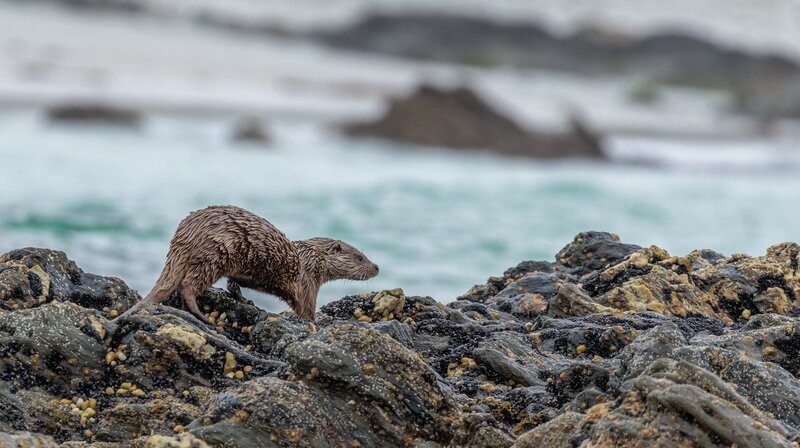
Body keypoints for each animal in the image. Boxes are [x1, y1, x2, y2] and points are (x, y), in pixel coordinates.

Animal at [114, 205, 379, 322]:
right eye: (360, 257)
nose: (377, 267)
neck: (311, 258)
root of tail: (185, 236)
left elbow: (233, 284)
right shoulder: (307, 281)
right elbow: (306, 308)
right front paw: (316, 322)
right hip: (215, 255)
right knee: (188, 286)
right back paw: (201, 315)